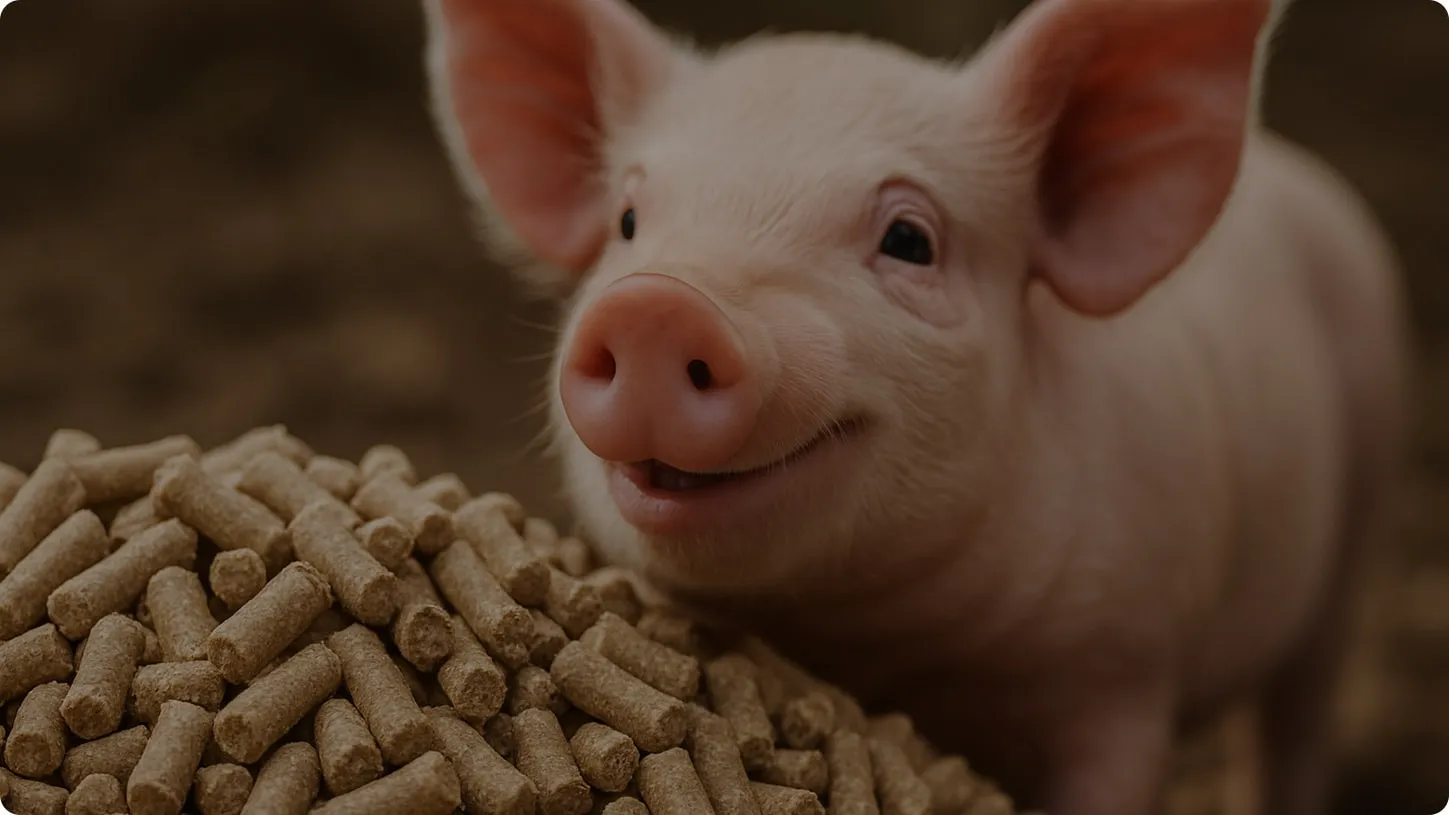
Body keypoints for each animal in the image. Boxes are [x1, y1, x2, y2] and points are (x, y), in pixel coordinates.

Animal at [421, 0, 1410, 812]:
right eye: (628, 222)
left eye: (908, 239)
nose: (660, 305)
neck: (889, 649)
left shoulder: (1124, 670)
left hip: (1357, 509)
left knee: (1299, 715)